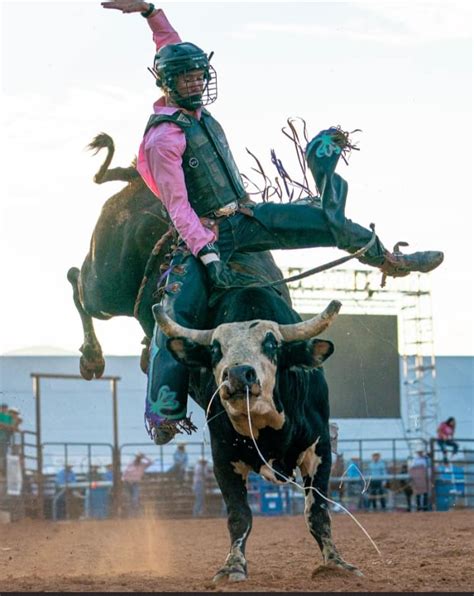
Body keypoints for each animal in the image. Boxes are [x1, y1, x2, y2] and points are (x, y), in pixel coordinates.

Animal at [153, 286, 360, 580]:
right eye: (215, 349)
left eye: (271, 344)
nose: (238, 374)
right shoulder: (223, 459)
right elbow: (239, 515)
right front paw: (233, 565)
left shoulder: (319, 452)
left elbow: (317, 512)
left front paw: (336, 563)